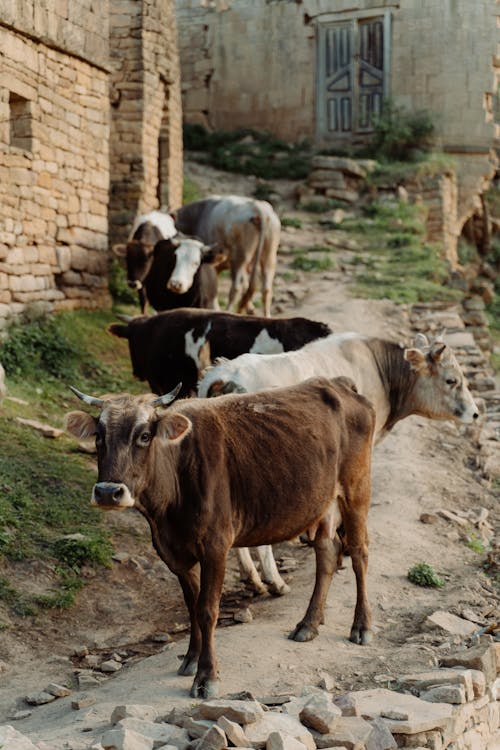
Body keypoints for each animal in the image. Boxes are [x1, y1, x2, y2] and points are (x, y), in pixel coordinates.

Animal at [64, 378, 374, 704]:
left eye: (145, 435)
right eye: (99, 436)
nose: (108, 492)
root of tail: (334, 383)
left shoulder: (215, 546)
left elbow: (207, 609)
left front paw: (206, 676)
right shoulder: (174, 552)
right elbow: (192, 606)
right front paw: (190, 659)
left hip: (355, 489)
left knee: (360, 553)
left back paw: (361, 626)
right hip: (321, 501)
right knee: (327, 552)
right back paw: (308, 624)